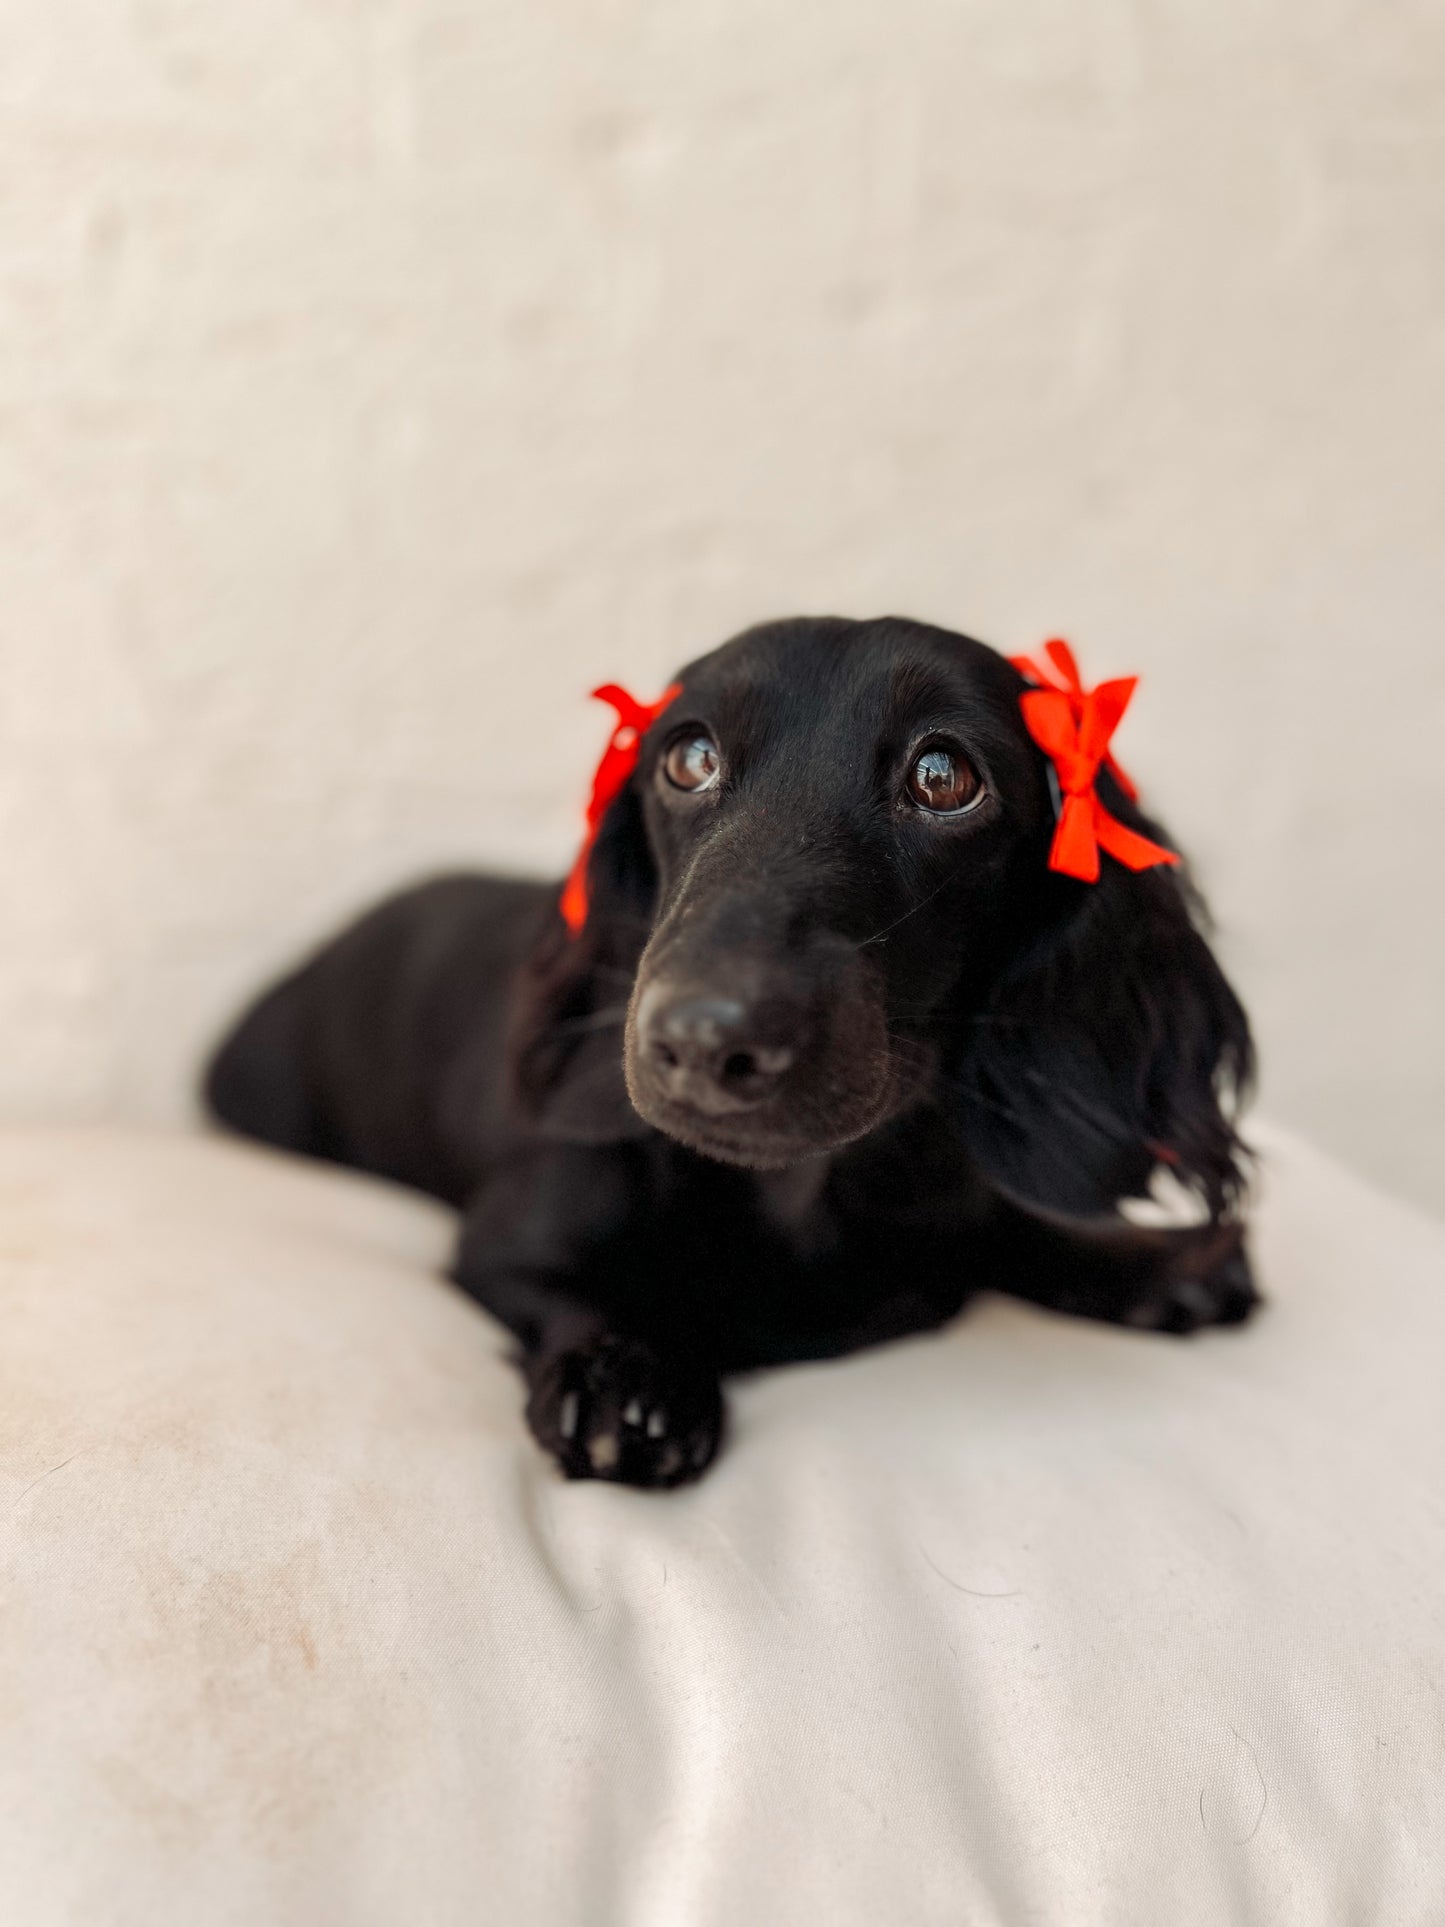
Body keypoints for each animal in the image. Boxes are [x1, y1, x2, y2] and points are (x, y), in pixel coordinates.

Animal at [204, 616, 1256, 1487]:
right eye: (689, 757)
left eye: (943, 776)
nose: (704, 1042)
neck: (803, 1194)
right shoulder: (503, 1242)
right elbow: (577, 1295)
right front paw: (626, 1375)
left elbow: (1011, 1224)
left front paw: (1157, 1258)